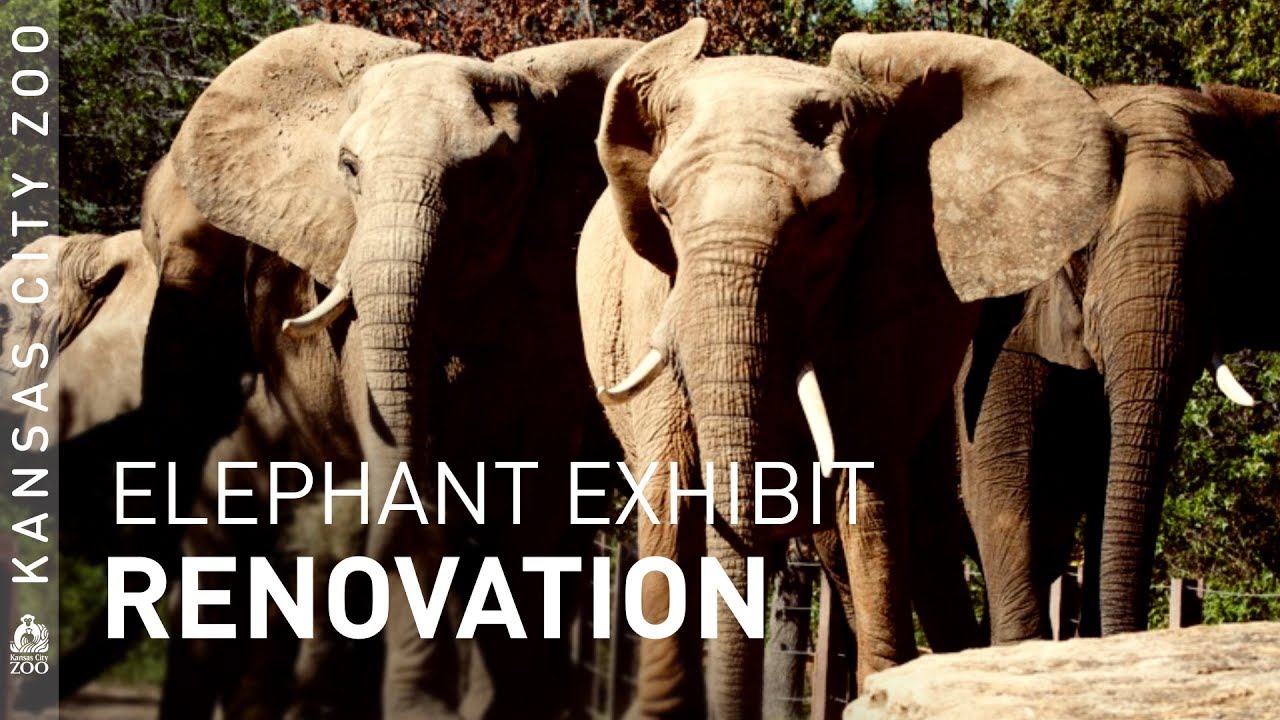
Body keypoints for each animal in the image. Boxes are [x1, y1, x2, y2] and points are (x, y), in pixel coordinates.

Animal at [576, 19, 1121, 717]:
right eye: (663, 210)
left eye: (828, 222)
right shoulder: (657, 302)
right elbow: (671, 486)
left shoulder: (880, 321)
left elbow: (866, 491)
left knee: (918, 525)